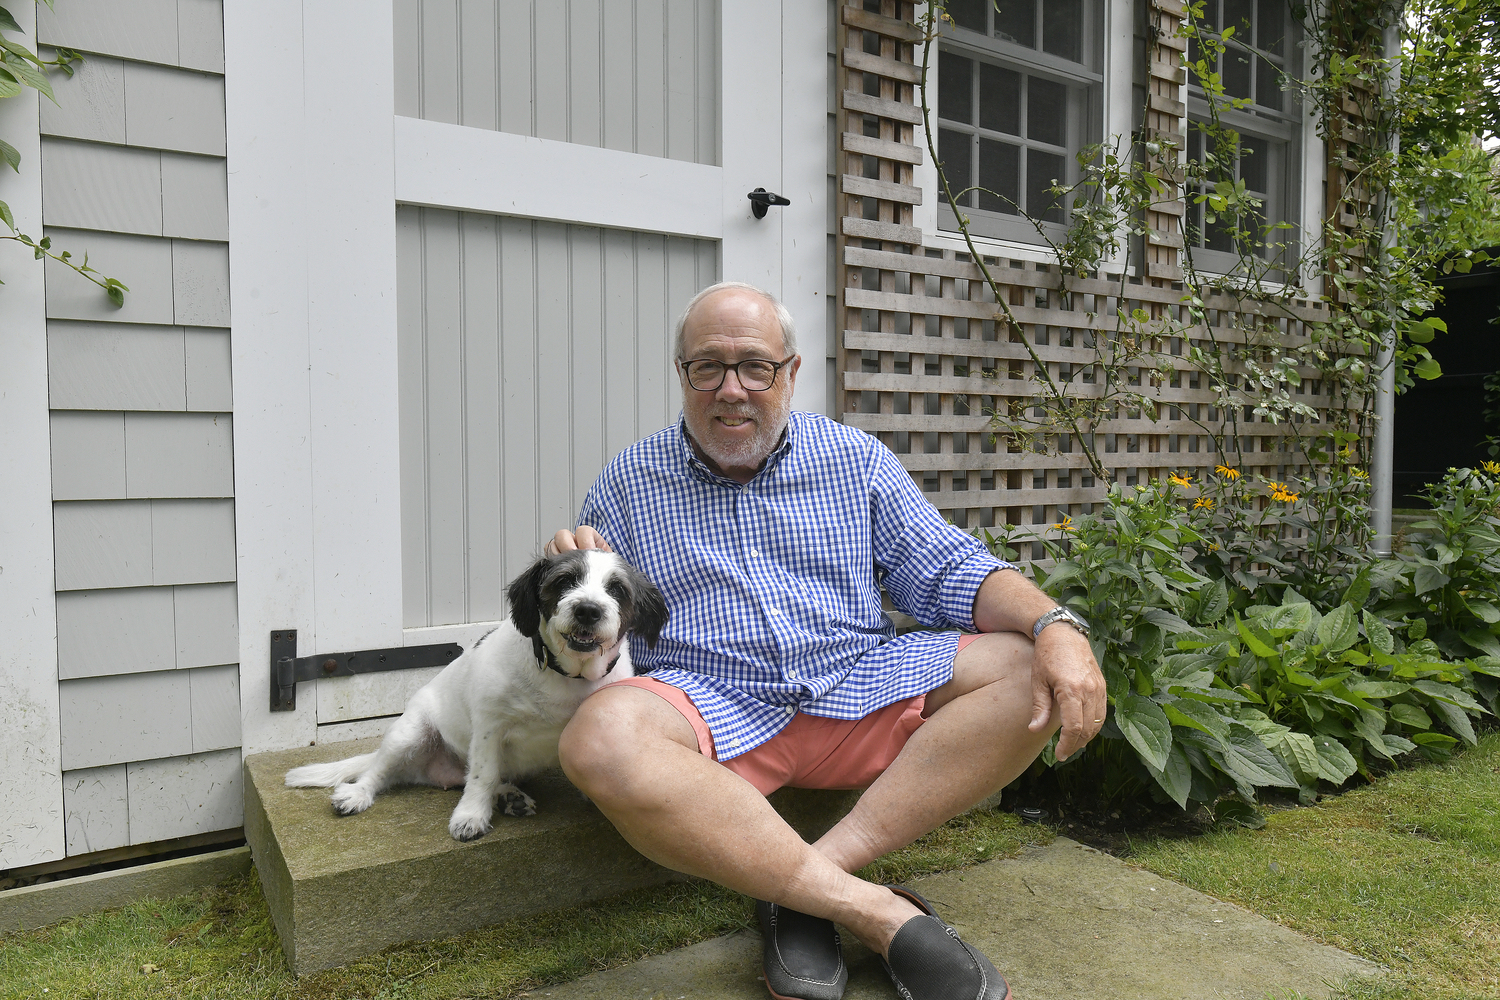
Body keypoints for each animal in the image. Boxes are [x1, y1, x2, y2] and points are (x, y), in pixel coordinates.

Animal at [282, 551, 669, 839]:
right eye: (565, 580)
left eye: (617, 589)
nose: (588, 609)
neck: (566, 674)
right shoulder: (489, 726)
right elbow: (482, 774)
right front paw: (470, 816)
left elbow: (486, 775)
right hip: (409, 735)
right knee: (382, 772)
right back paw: (357, 794)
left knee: (471, 776)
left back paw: (509, 797)